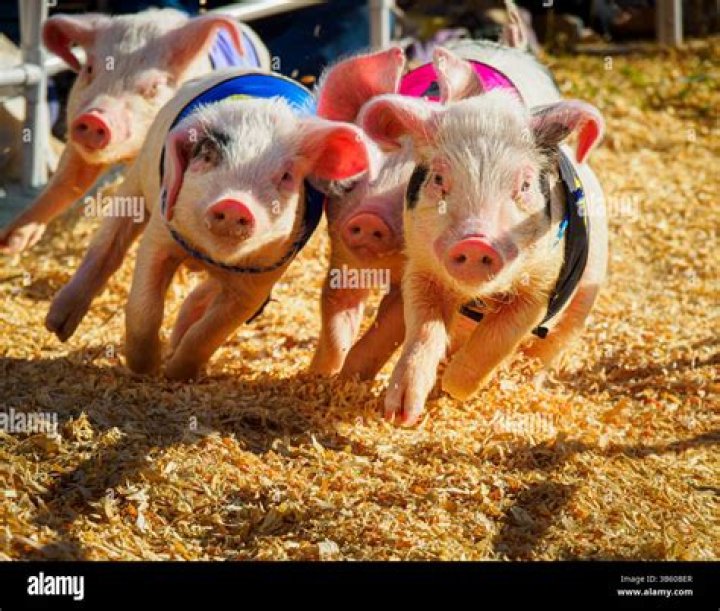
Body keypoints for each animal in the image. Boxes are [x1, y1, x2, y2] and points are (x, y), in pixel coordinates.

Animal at [45, 68, 374, 380]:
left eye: (286, 176)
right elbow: (144, 308)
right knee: (108, 244)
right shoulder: (161, 233)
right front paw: (145, 369)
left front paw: (177, 372)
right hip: (138, 178)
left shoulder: (261, 277)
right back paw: (57, 326)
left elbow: (210, 332)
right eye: (207, 156)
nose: (234, 203)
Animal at [358, 46, 608, 425]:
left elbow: (498, 336)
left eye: (524, 185)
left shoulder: (543, 282)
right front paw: (400, 412)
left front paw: (452, 387)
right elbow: (423, 329)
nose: (475, 242)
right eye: (438, 179)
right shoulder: (420, 264)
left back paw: (524, 381)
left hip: (584, 299)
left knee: (550, 347)